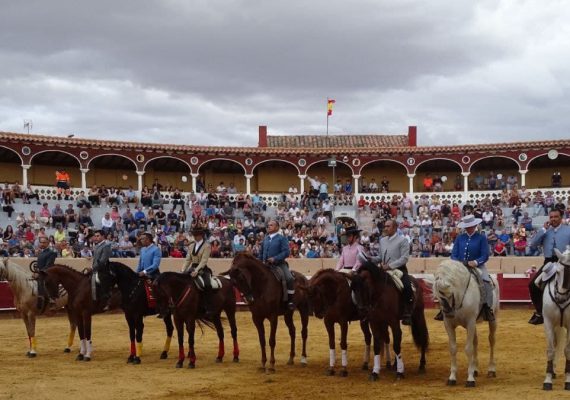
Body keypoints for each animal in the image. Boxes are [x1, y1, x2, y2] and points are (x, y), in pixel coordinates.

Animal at [432, 260, 494, 388]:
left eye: (450, 293)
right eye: (438, 295)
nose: (448, 313)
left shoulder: (470, 322)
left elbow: (468, 349)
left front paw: (470, 379)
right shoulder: (448, 324)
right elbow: (453, 348)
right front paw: (452, 377)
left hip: (493, 320)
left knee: (491, 341)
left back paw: (491, 370)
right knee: (476, 341)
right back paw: (475, 369)